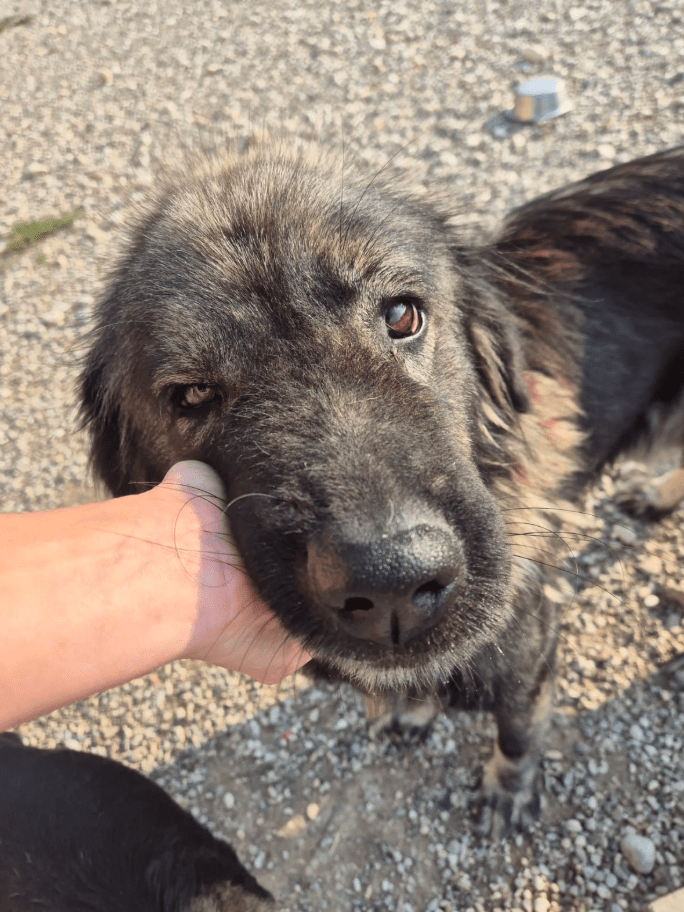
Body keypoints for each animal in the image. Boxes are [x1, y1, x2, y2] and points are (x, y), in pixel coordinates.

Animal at [76, 138, 684, 849]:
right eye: (192, 394)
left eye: (402, 315)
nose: (394, 580)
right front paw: (409, 709)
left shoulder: (530, 646)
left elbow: (517, 731)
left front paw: (508, 790)